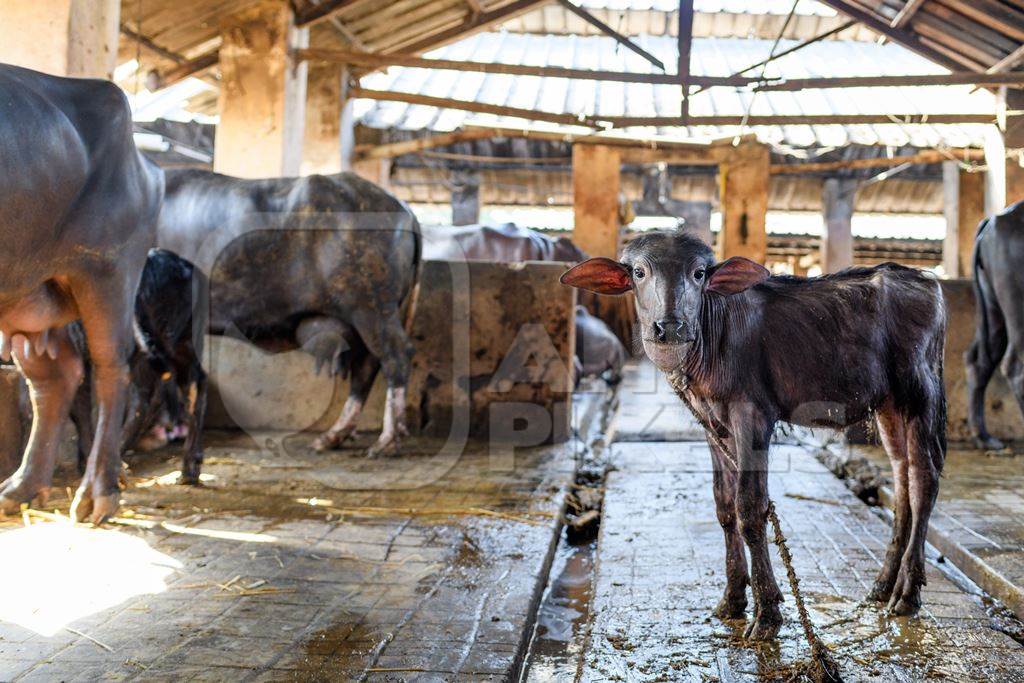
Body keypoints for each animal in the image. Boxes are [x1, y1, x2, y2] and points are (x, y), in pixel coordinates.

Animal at [0, 65, 162, 524]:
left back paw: (98, 492)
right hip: (29, 290)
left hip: (109, 270)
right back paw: (23, 487)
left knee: (112, 366)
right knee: (54, 377)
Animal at [156, 169, 419, 458]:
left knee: (395, 357)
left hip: (372, 310)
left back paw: (387, 440)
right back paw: (333, 436)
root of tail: (403, 208)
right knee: (366, 366)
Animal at [565, 233, 946, 643]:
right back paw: (883, 585)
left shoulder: (754, 416)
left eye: (699, 273)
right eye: (639, 272)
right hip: (889, 403)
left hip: (920, 391)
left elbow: (750, 508)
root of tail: (926, 281)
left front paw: (767, 613)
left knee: (924, 479)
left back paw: (907, 593)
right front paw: (732, 600)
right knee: (902, 477)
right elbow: (724, 506)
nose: (670, 327)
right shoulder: (712, 423)